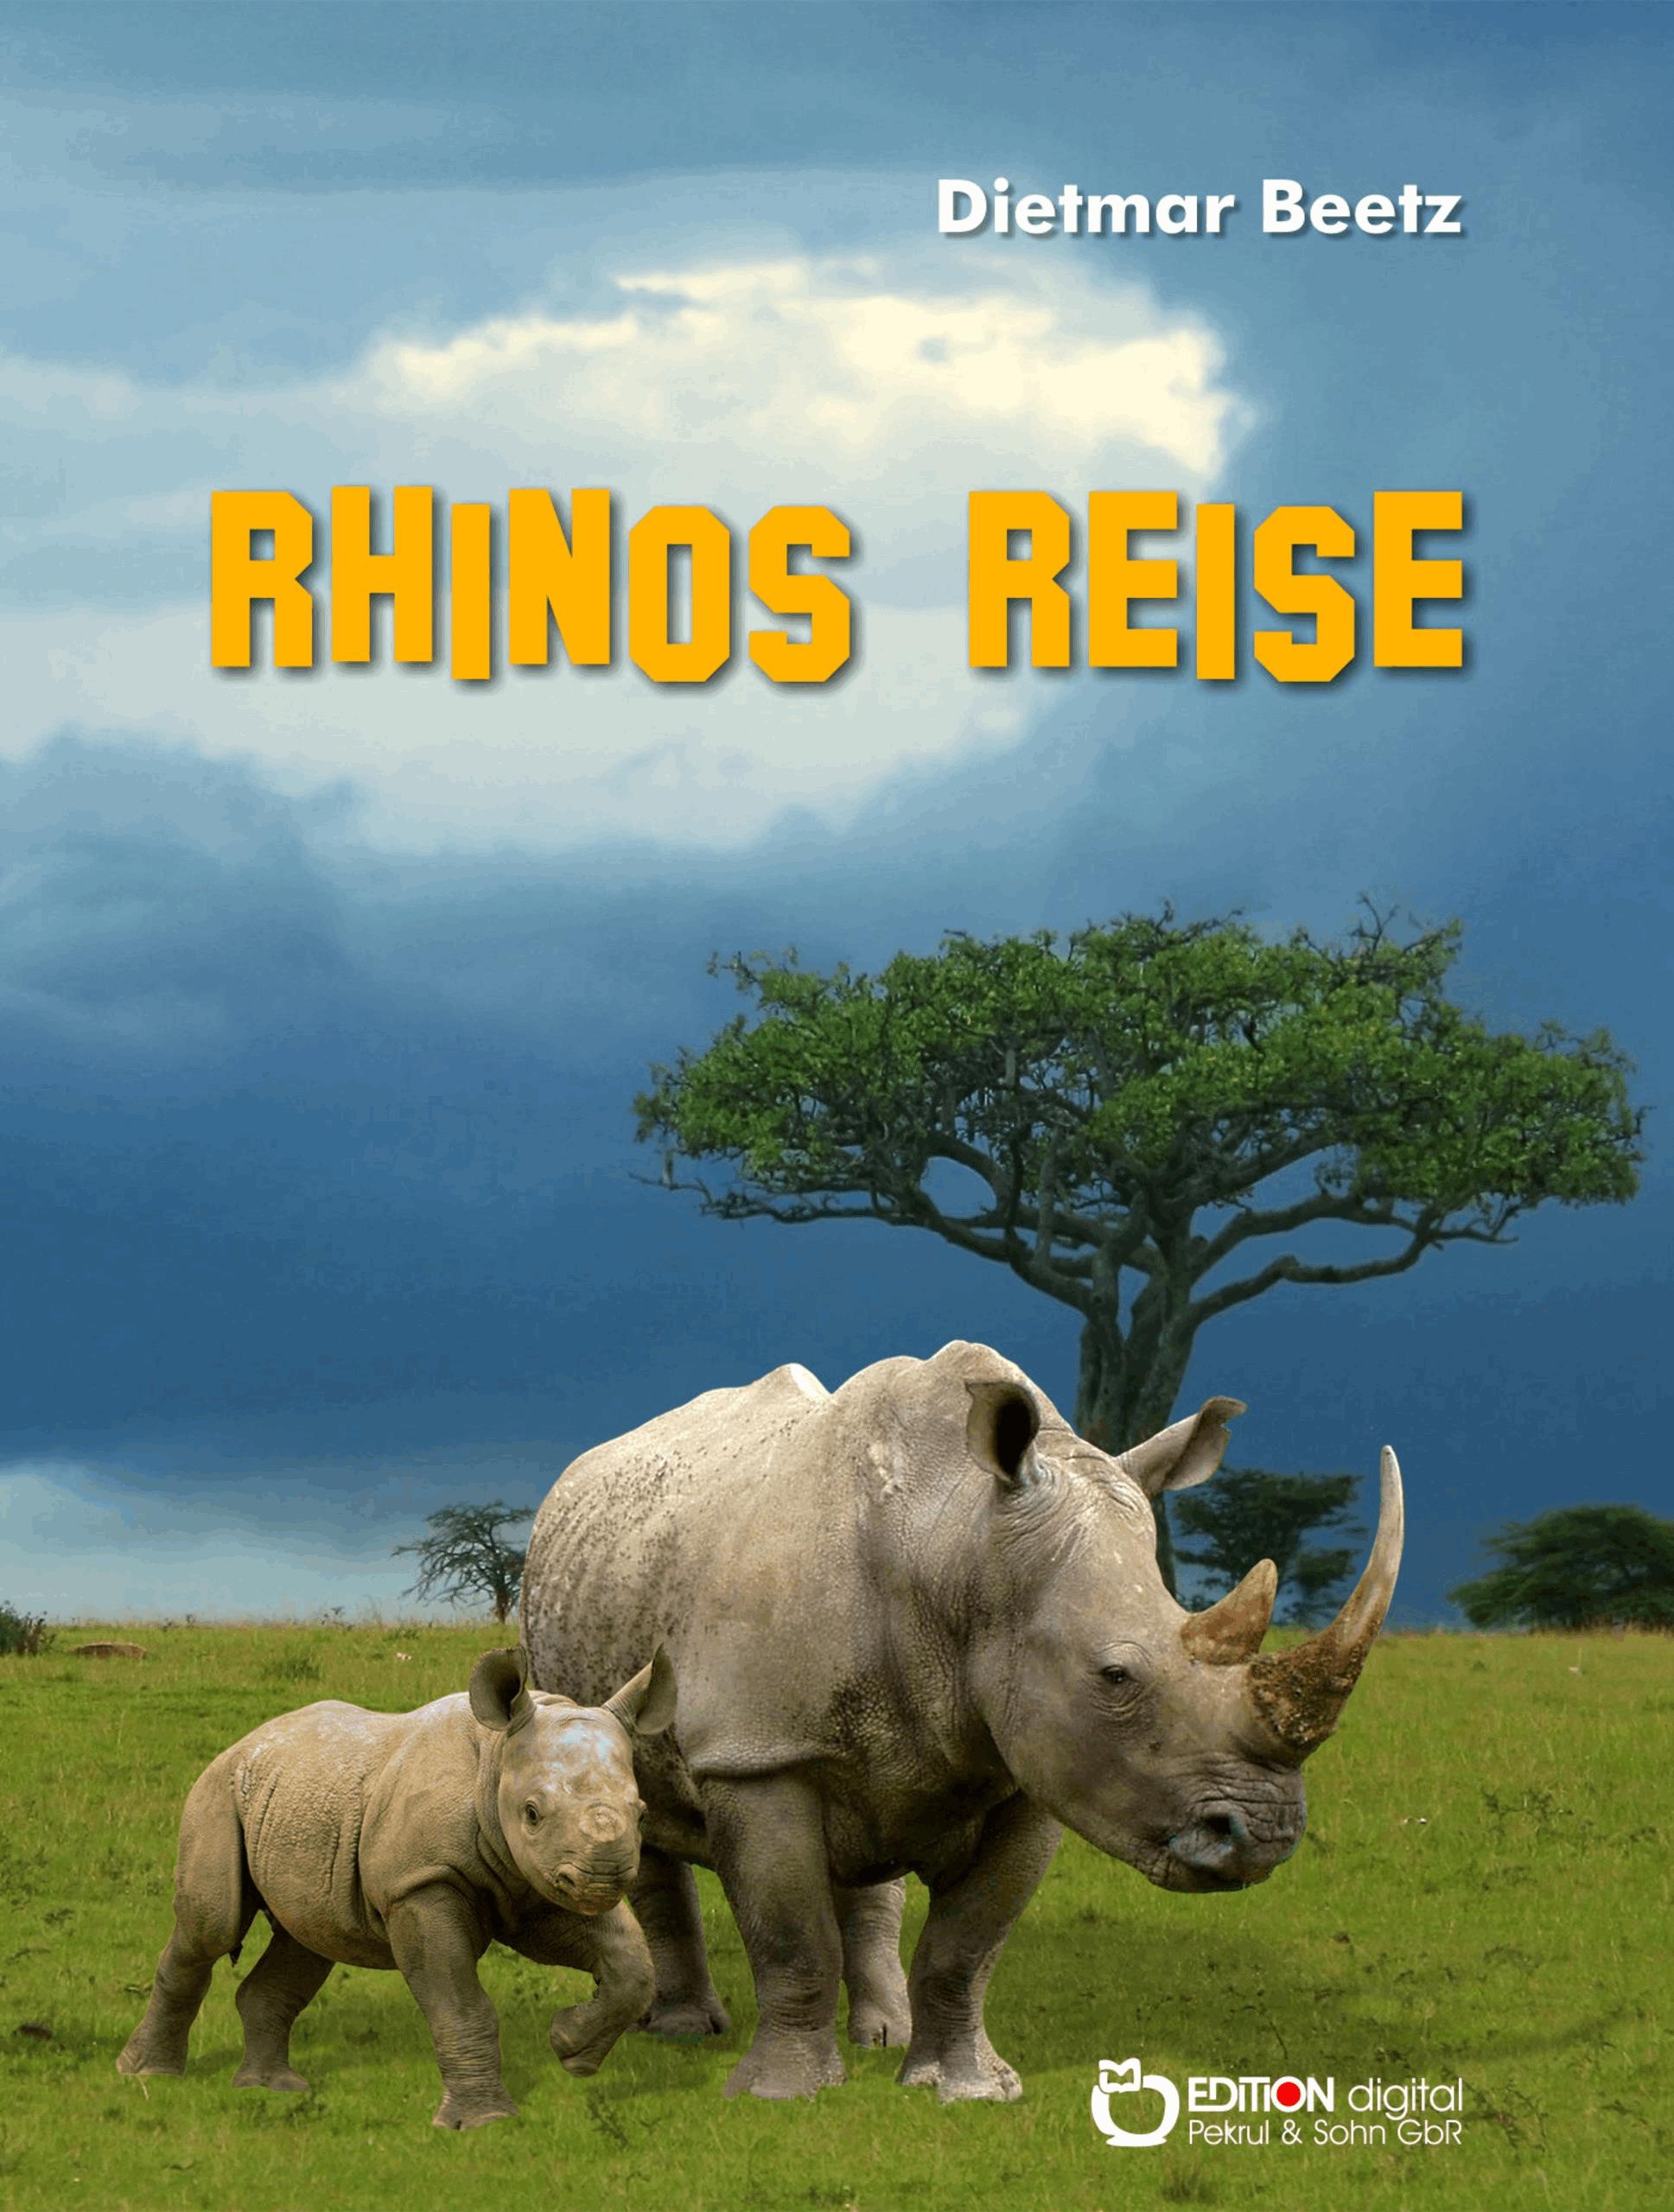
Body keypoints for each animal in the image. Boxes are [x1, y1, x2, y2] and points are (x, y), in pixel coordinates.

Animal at [118, 1646, 675, 2128]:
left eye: (642, 1814)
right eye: (532, 1814)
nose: (601, 1878)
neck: (496, 1758)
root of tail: (245, 1741)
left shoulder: (537, 1881)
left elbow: (632, 1967)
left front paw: (569, 2048)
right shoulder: (420, 1883)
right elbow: (459, 2002)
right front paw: (482, 2122)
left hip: (296, 1801)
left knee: (308, 1939)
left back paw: (272, 2088)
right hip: (217, 1792)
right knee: (210, 1929)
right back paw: (148, 2074)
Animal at [520, 1341, 1403, 2102]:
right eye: (1114, 1676)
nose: (1265, 1836)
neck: (958, 1548)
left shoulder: (1034, 1768)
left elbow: (966, 1945)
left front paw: (966, 2091)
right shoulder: (757, 1748)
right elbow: (791, 1934)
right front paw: (782, 2095)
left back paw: (880, 2033)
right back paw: (682, 2033)